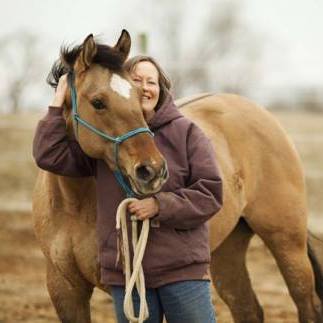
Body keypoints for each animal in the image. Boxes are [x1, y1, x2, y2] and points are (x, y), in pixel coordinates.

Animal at [33, 31, 323, 323]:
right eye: (98, 102)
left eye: (138, 97)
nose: (152, 170)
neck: (74, 203)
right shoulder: (65, 289)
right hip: (228, 250)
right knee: (247, 308)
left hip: (287, 242)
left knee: (307, 303)